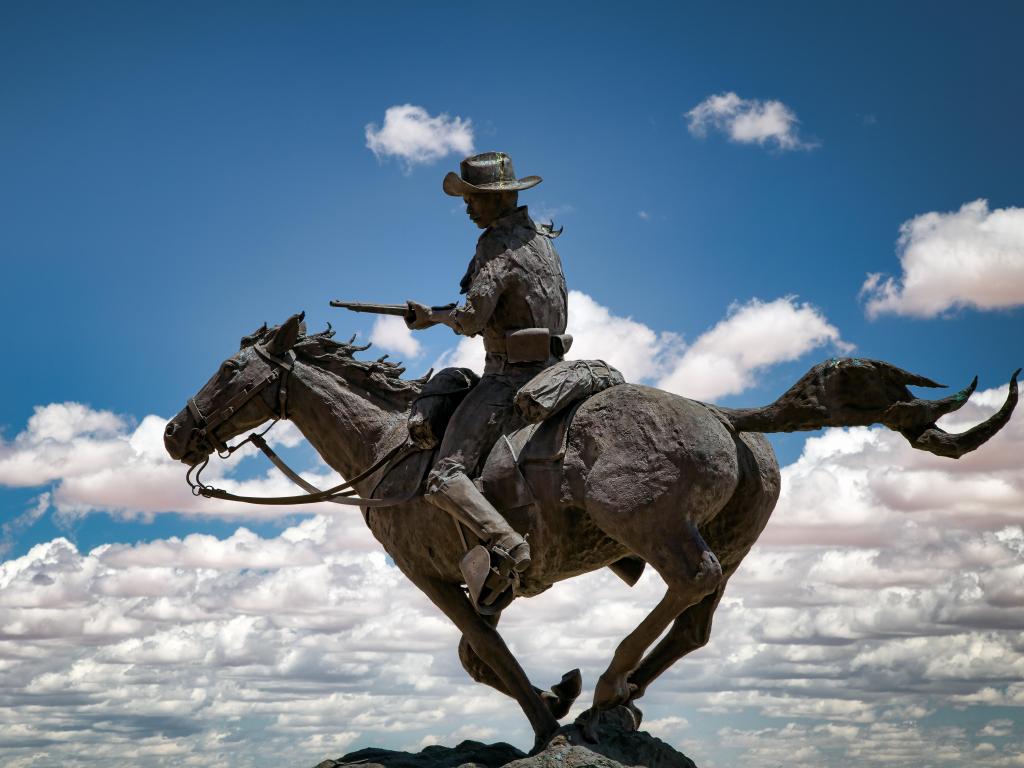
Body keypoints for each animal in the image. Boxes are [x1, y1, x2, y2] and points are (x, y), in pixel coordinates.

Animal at [161, 311, 1015, 745]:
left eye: (230, 372)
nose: (175, 435)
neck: (389, 446)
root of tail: (722, 416)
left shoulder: (433, 577)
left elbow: (489, 656)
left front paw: (549, 719)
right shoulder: (491, 577)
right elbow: (479, 655)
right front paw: (561, 692)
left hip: (660, 530)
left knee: (688, 585)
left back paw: (610, 685)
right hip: (731, 542)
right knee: (696, 622)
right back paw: (616, 697)